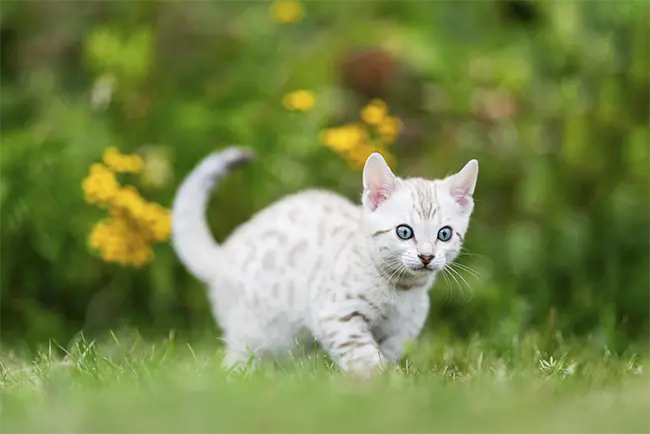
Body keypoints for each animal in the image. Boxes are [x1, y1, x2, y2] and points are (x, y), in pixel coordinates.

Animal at [172, 147, 476, 376]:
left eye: (444, 234)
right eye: (404, 232)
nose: (426, 256)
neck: (401, 290)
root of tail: (224, 253)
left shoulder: (401, 331)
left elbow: (386, 354)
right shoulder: (338, 314)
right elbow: (364, 356)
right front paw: (380, 383)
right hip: (253, 331)